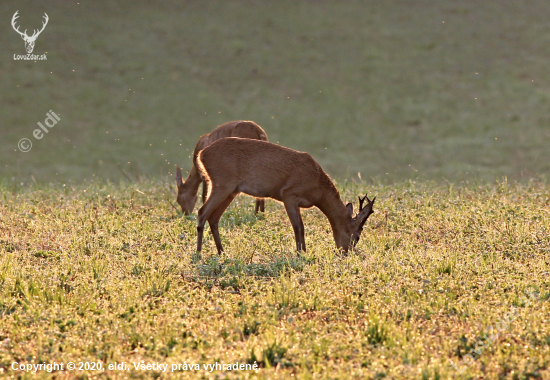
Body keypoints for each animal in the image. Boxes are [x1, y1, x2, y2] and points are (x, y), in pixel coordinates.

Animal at [194, 137, 376, 252]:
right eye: (357, 236)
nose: (345, 252)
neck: (318, 188)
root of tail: (202, 154)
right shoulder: (288, 195)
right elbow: (298, 227)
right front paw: (301, 253)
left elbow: (301, 227)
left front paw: (303, 252)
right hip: (222, 184)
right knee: (202, 212)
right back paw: (199, 253)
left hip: (231, 190)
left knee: (214, 217)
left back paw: (221, 252)